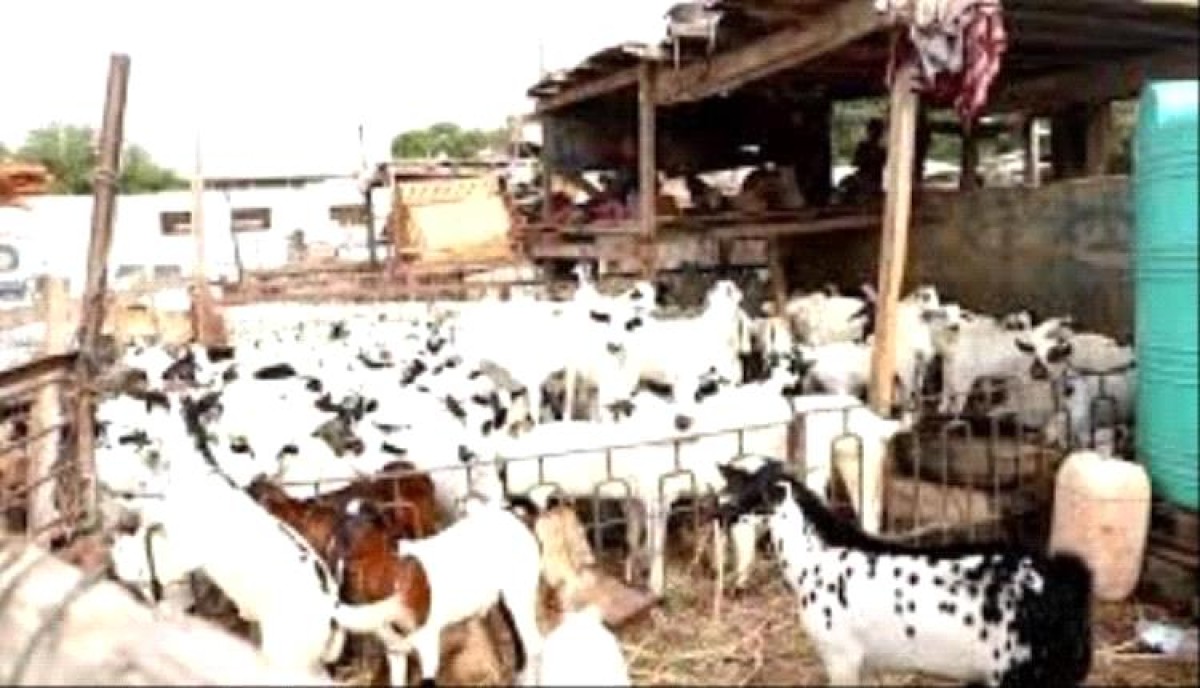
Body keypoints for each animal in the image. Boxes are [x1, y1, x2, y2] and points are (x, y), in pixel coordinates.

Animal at [710, 456, 1099, 686]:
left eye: (747, 493)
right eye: (728, 485)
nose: (715, 512)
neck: (814, 558)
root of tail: (1067, 579)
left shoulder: (841, 657)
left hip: (1021, 671)